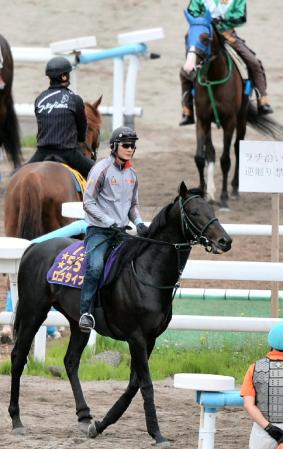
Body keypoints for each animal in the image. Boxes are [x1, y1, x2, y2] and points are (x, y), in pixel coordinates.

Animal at [9, 181, 233, 444]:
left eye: (210, 209)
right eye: (195, 212)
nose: (225, 241)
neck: (147, 272)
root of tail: (33, 247)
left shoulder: (149, 339)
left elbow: (134, 384)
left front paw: (99, 425)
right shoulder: (136, 338)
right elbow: (146, 384)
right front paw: (157, 433)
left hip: (79, 323)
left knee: (71, 361)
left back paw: (84, 416)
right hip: (33, 312)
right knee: (18, 356)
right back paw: (16, 420)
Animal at [185, 11, 282, 208]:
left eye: (205, 38)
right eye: (186, 37)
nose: (189, 69)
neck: (213, 79)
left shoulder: (229, 122)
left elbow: (226, 160)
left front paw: (224, 198)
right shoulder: (202, 120)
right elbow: (200, 157)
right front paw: (202, 193)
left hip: (241, 118)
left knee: (237, 147)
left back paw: (235, 189)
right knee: (210, 152)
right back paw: (211, 192)